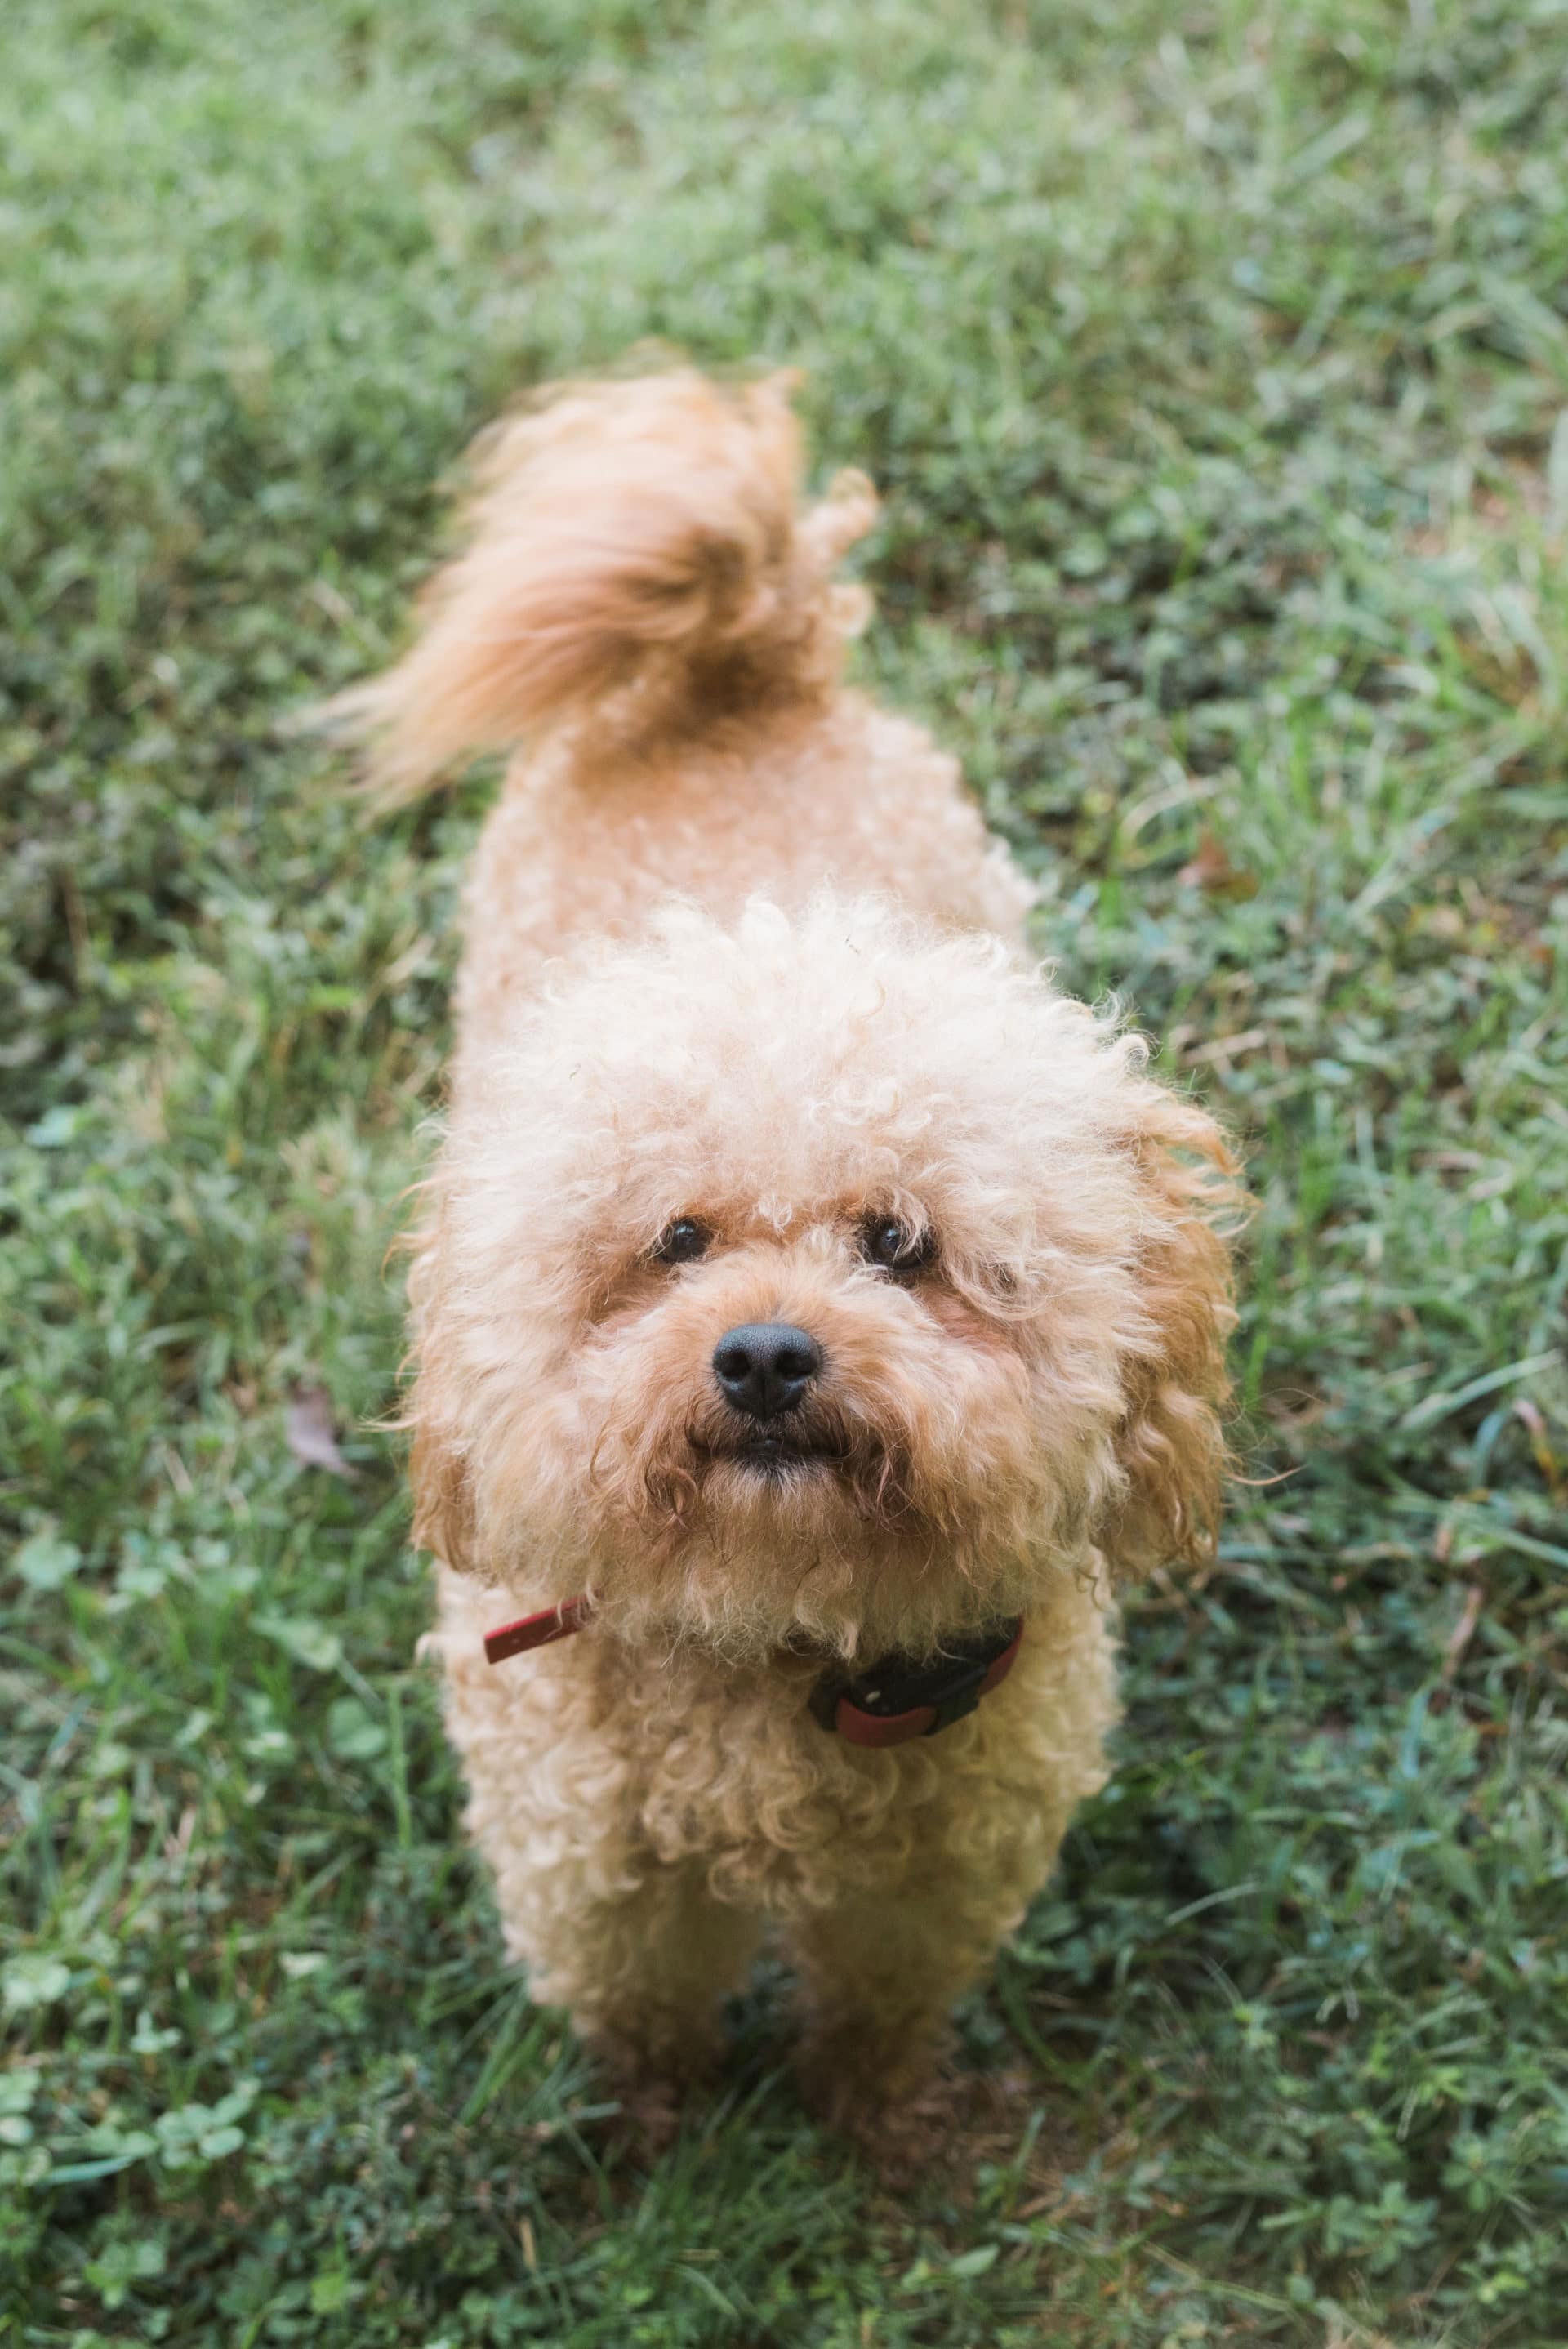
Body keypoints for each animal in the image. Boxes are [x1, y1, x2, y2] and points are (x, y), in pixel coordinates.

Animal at [328, 371, 1239, 2160]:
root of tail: (736, 662)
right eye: (673, 1240)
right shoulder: (599, 1874)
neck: (772, 1652)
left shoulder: (934, 1876)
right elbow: (644, 2015)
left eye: (902, 1245)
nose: (761, 1356)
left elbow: (877, 2017)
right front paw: (659, 2137)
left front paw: (876, 2135)